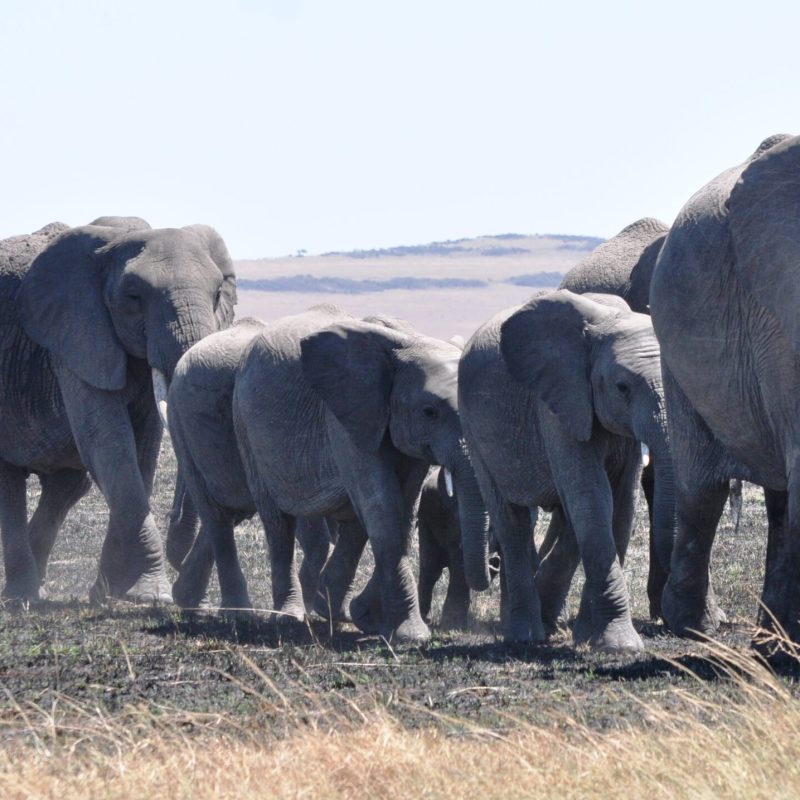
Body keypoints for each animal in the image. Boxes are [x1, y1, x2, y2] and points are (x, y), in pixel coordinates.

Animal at [0, 217, 236, 603]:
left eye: (218, 295)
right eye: (134, 298)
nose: (178, 551)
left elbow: (142, 451)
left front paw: (110, 594)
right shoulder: (76, 337)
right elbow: (109, 443)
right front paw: (150, 595)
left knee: (68, 485)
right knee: (11, 484)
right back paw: (23, 598)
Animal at [169, 305, 490, 644]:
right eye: (430, 412)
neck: (411, 342)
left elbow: (401, 511)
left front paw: (364, 617)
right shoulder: (346, 417)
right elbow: (382, 509)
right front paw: (409, 635)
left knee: (240, 515)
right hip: (227, 424)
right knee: (258, 520)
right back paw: (265, 616)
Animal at [459, 290, 675, 651]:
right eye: (622, 387)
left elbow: (621, 502)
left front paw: (590, 636)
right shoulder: (557, 404)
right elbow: (592, 496)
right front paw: (619, 645)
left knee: (563, 517)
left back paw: (548, 618)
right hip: (473, 430)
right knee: (511, 519)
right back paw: (525, 634)